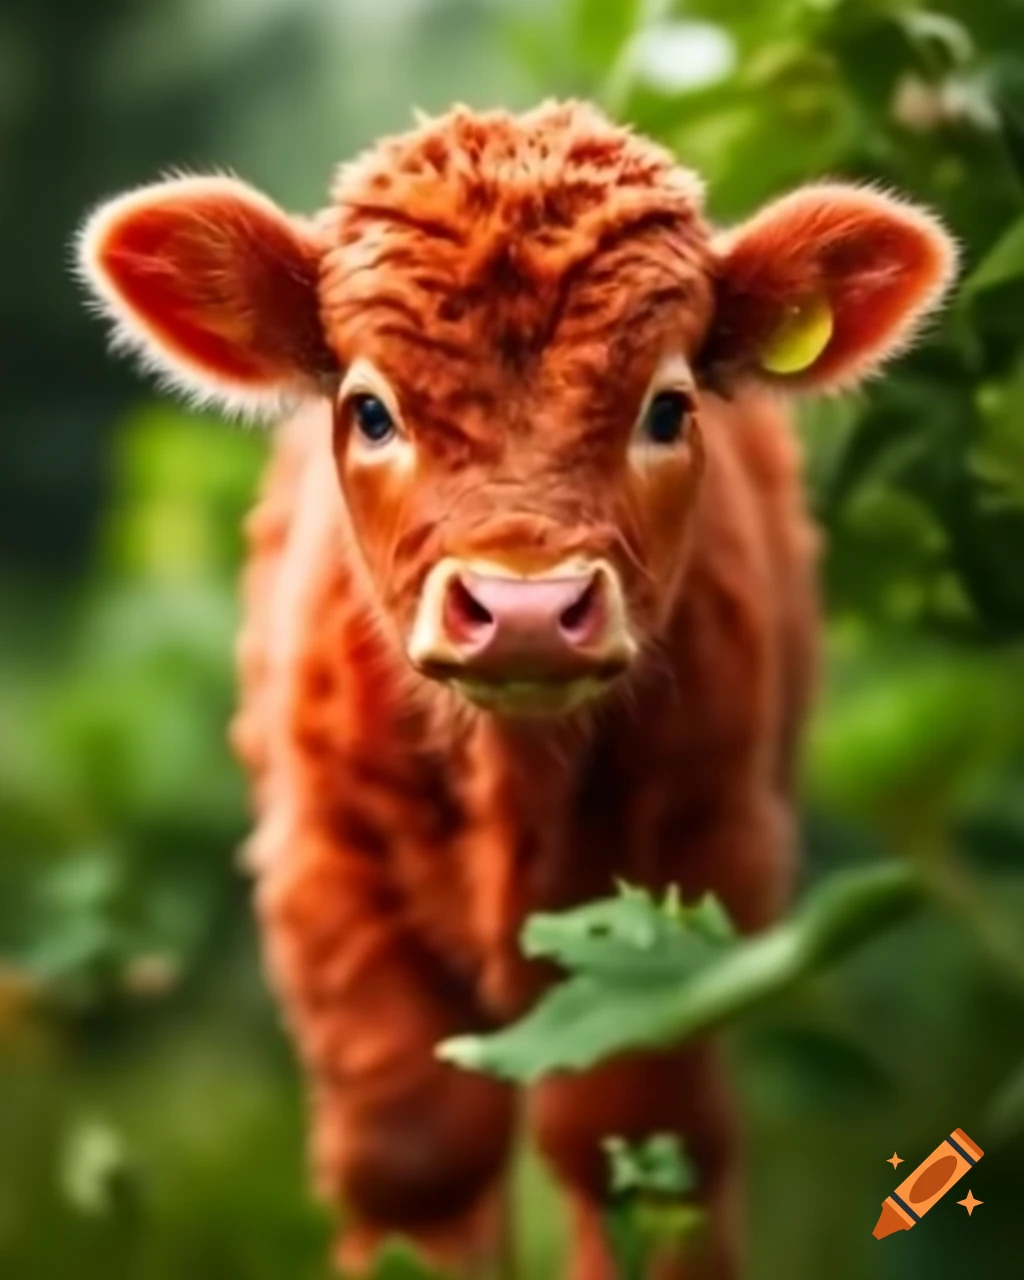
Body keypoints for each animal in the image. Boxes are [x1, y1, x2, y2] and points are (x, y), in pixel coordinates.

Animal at [76, 100, 956, 1279]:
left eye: (668, 408)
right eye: (370, 410)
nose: (525, 607)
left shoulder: (701, 860)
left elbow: (641, 1135)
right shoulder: (324, 872)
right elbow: (418, 1152)